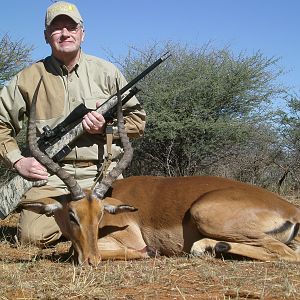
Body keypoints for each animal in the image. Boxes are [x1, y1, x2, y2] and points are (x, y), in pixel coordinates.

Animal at [18, 80, 300, 264]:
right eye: (72, 215)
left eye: (100, 216)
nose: (91, 260)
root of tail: (291, 210)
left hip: (205, 214)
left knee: (286, 254)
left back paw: (207, 247)